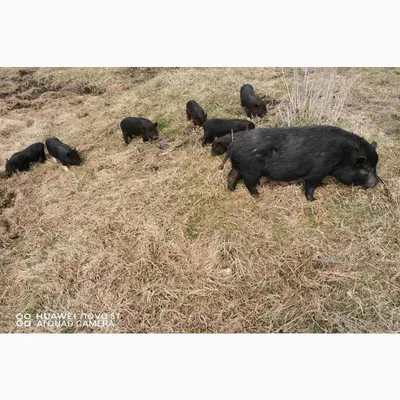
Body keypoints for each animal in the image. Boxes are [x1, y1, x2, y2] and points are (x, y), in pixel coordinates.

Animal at [223, 125, 380, 200]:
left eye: (375, 167)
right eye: (367, 168)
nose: (377, 182)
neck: (342, 156)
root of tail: (233, 146)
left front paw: (323, 186)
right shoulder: (317, 171)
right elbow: (310, 185)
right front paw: (314, 199)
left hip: (241, 167)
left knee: (231, 175)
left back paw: (231, 190)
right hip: (250, 170)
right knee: (248, 183)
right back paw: (258, 196)